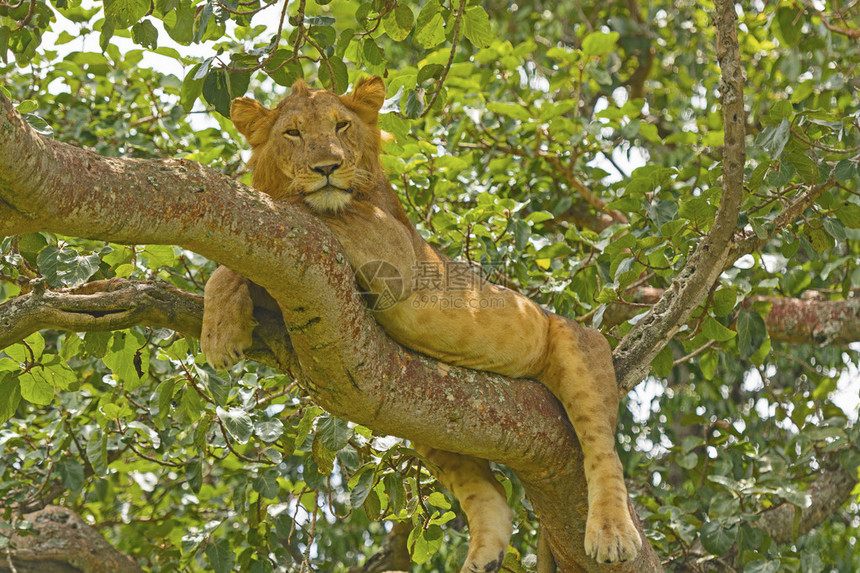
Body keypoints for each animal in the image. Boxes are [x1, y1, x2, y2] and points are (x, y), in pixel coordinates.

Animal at [202, 78, 640, 568]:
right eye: (292, 133)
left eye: (342, 126)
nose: (327, 167)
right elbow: (233, 266)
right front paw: (221, 328)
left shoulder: (393, 249)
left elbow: (286, 209)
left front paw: (217, 331)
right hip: (430, 427)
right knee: (489, 493)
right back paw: (483, 559)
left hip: (577, 348)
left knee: (602, 450)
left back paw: (611, 534)